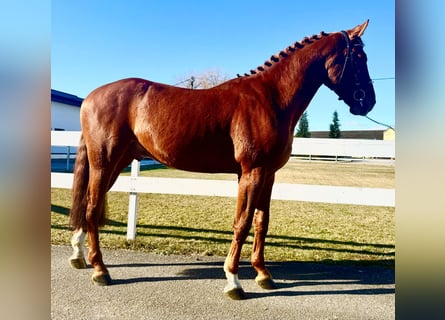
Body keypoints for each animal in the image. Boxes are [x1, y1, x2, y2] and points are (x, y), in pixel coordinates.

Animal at [68, 21, 374, 298]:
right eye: (360, 58)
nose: (368, 102)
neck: (271, 98)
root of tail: (91, 97)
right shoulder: (252, 171)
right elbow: (243, 222)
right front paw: (234, 281)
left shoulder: (268, 174)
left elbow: (261, 222)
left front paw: (263, 275)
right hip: (104, 162)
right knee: (92, 208)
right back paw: (100, 270)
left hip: (115, 164)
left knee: (87, 204)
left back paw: (79, 254)